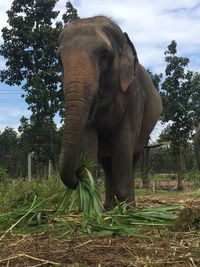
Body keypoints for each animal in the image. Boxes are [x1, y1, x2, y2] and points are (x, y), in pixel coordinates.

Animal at [57, 15, 162, 210]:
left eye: (104, 57)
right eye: (59, 60)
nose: (77, 172)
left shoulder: (134, 97)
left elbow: (123, 141)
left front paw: (128, 212)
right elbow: (88, 140)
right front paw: (92, 210)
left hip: (144, 135)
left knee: (132, 160)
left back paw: (131, 207)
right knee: (107, 165)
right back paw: (109, 207)